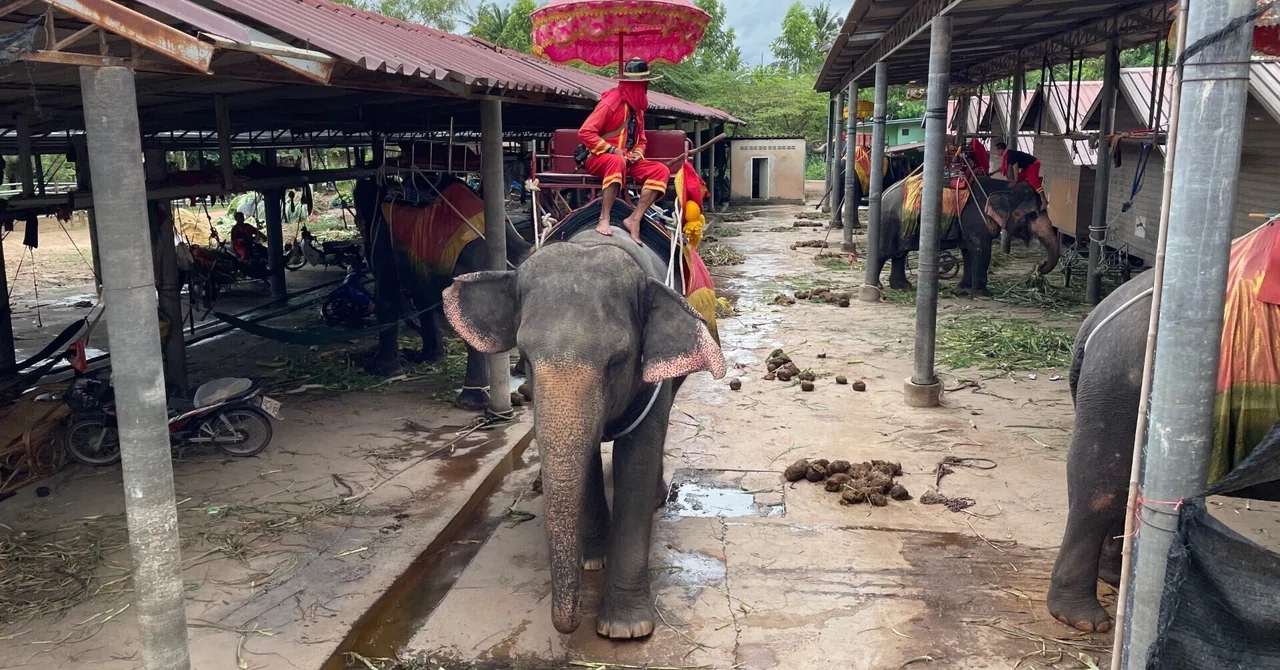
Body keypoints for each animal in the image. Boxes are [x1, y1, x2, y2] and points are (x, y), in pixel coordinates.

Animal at [354, 175, 532, 410]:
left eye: (359, 222)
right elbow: (421, 295)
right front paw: (430, 357)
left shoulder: (383, 239)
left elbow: (387, 295)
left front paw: (380, 369)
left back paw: (470, 403)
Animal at [442, 200, 726, 639]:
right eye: (524, 357)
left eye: (618, 361)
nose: (569, 625)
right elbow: (587, 458)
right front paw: (591, 560)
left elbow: (638, 457)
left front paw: (625, 629)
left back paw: (659, 499)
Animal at [871, 177, 1061, 294]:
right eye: (1032, 214)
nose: (1039, 265)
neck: (1005, 186)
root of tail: (883, 194)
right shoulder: (976, 221)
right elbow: (981, 250)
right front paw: (983, 294)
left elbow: (968, 251)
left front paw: (964, 288)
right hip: (889, 222)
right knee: (883, 253)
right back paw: (877, 286)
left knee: (899, 254)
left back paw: (903, 287)